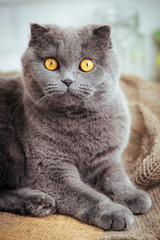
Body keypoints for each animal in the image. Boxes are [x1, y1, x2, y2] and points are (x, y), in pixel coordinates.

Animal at [0, 23, 151, 230]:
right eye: (51, 63)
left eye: (87, 64)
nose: (68, 80)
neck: (79, 121)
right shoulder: (49, 169)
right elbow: (86, 195)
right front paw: (113, 211)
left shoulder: (108, 159)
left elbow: (118, 177)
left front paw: (134, 196)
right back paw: (38, 202)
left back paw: (36, 204)